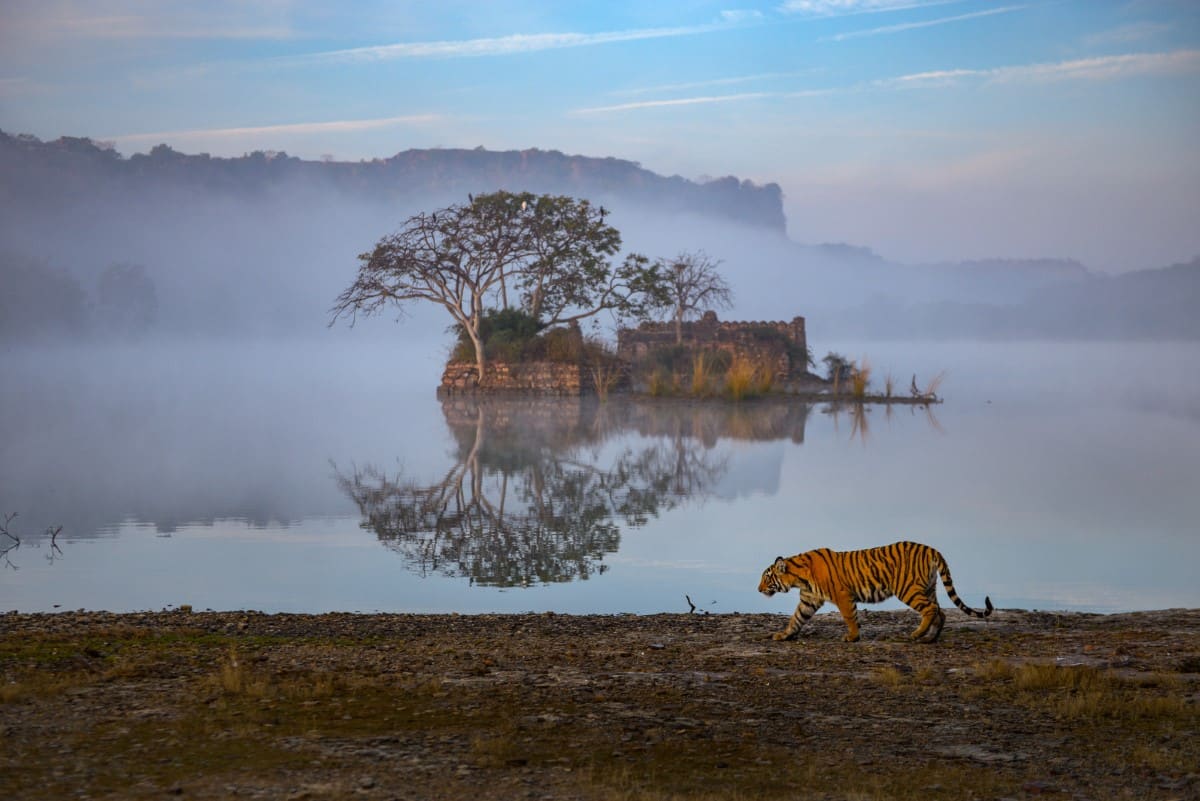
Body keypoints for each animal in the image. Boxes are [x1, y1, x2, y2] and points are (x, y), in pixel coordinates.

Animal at [758, 537, 993, 642]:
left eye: (766, 577)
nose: (758, 589)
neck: (799, 578)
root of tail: (931, 549)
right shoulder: (809, 599)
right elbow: (796, 618)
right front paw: (783, 635)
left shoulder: (842, 596)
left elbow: (849, 617)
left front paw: (852, 637)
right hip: (928, 588)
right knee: (940, 611)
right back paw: (931, 638)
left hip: (907, 589)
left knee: (930, 609)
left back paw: (917, 634)